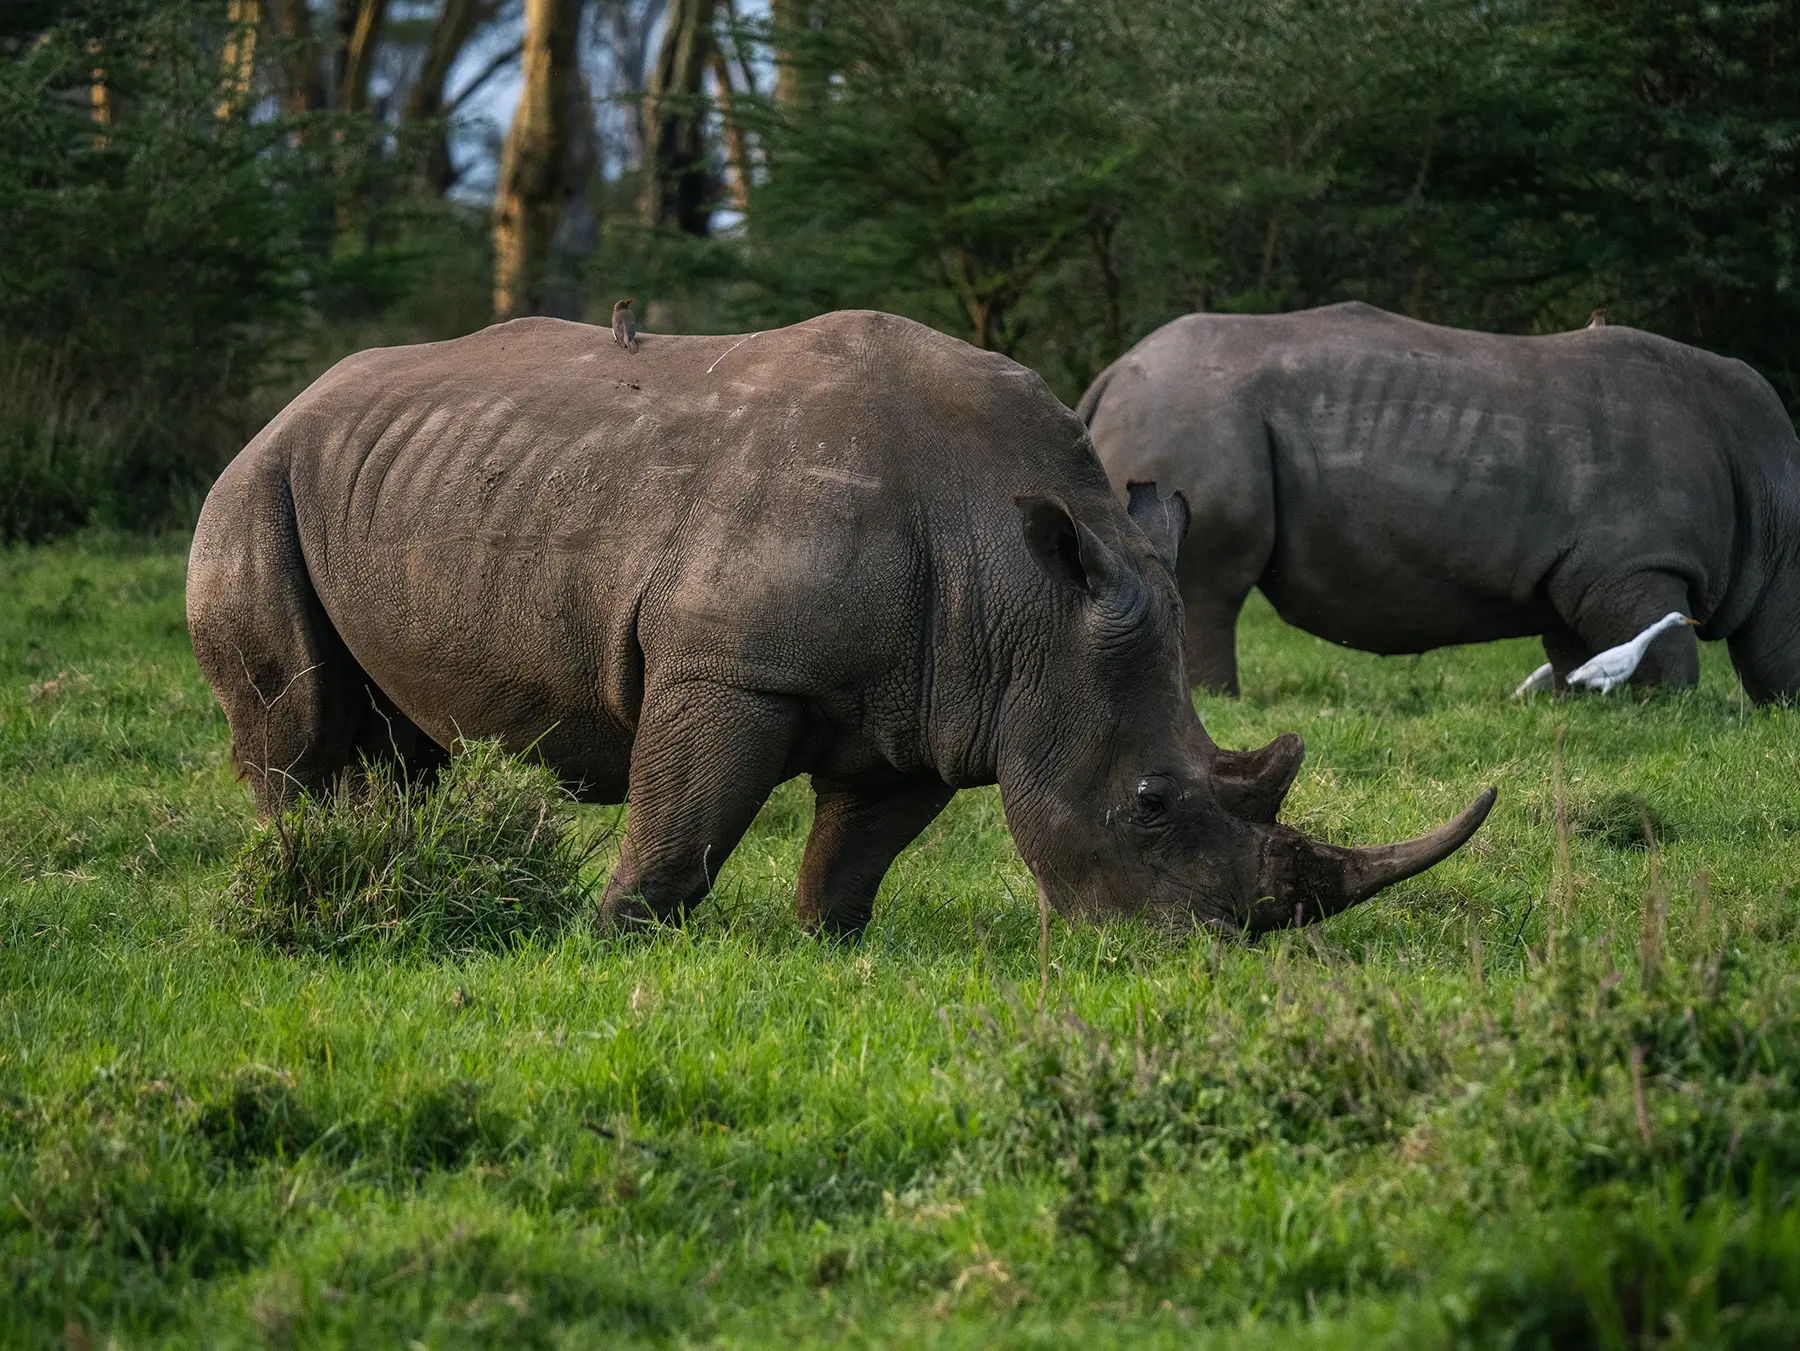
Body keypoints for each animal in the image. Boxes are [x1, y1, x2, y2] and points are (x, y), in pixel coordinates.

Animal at [187, 310, 1493, 937]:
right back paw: (303, 878)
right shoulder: (731, 667)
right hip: (254, 491)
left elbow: (855, 849)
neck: (1028, 589)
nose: (1219, 947)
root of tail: (285, 407)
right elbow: (683, 826)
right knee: (298, 725)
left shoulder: (941, 699)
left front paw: (828, 945)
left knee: (397, 743)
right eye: (1152, 803)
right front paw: (610, 941)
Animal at [1080, 302, 1800, 701]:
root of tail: (1111, 373)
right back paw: (1217, 700)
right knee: (1210, 582)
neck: (1776, 497)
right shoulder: (1636, 566)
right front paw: (1667, 711)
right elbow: (1666, 659)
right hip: (1190, 415)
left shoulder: (1587, 574)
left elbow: (1576, 653)